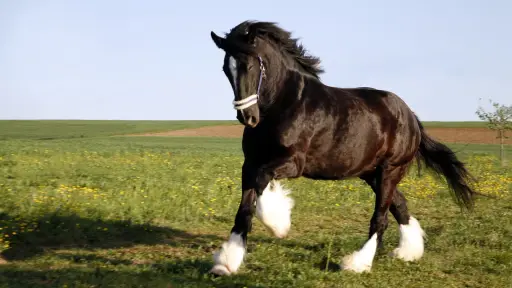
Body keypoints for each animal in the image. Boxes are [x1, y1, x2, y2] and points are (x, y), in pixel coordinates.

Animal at [209, 20, 476, 274]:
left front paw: (279, 224)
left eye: (249, 65)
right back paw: (408, 252)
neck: (284, 103)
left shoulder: (293, 163)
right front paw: (226, 264)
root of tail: (411, 117)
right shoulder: (250, 163)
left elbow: (262, 184)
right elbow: (244, 210)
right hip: (372, 174)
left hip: (390, 170)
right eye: (226, 68)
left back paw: (357, 263)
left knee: (381, 218)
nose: (247, 117)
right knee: (399, 206)